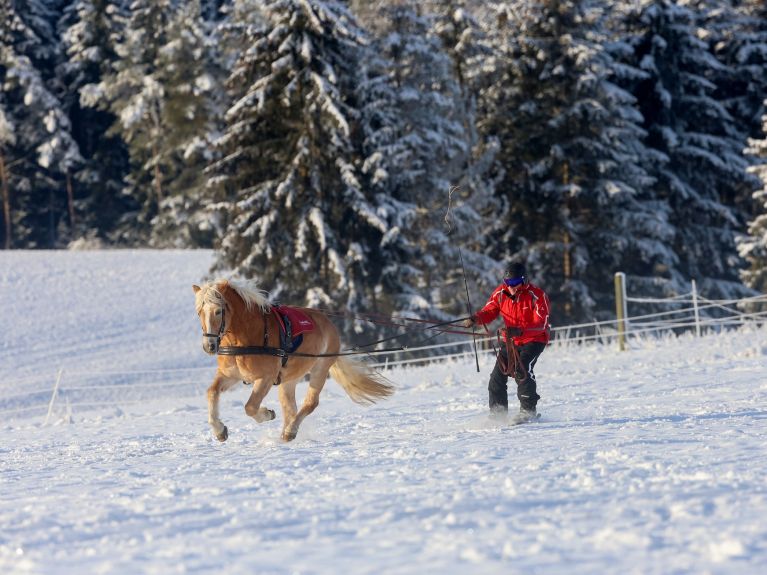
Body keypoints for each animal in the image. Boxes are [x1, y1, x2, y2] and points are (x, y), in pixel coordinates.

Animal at [193, 278, 394, 442]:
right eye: (199, 312)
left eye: (218, 311)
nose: (209, 346)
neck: (248, 337)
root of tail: (329, 324)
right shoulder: (229, 375)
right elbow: (211, 392)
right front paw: (219, 431)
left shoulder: (265, 379)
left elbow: (250, 407)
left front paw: (267, 414)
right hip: (289, 380)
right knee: (291, 409)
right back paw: (286, 434)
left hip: (320, 369)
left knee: (310, 403)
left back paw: (290, 432)